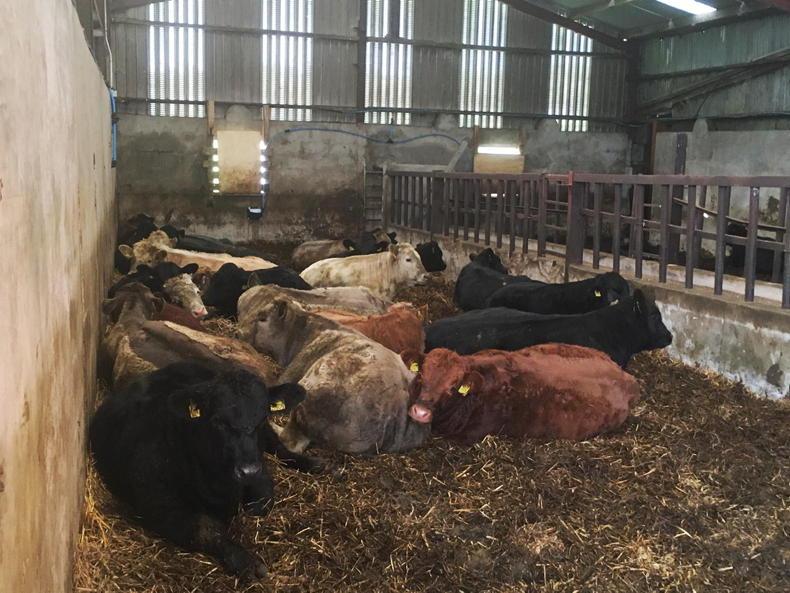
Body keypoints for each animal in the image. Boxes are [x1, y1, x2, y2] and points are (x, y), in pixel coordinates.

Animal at [89, 362, 320, 579]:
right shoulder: (160, 504)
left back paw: (313, 464)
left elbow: (259, 505)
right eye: (218, 421)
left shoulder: (261, 473)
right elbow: (206, 530)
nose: (248, 470)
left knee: (280, 447)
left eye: (263, 418)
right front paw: (246, 561)